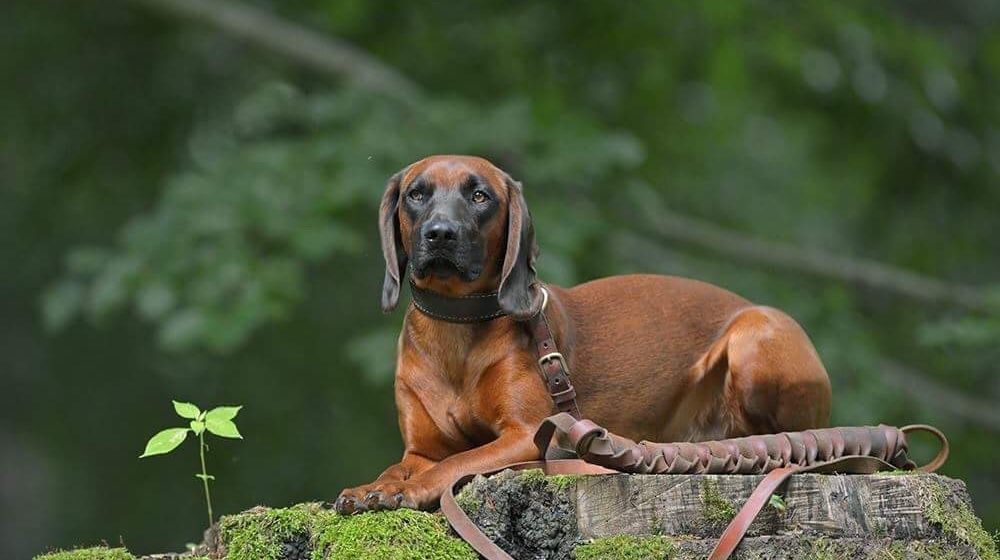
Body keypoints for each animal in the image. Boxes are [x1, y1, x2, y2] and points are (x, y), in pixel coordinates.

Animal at [332, 155, 832, 516]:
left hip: (755, 334)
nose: (440, 234)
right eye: (416, 194)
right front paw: (373, 487)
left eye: (479, 196)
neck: (456, 328)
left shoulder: (525, 436)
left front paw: (409, 492)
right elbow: (399, 467)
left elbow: (455, 464)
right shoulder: (421, 449)